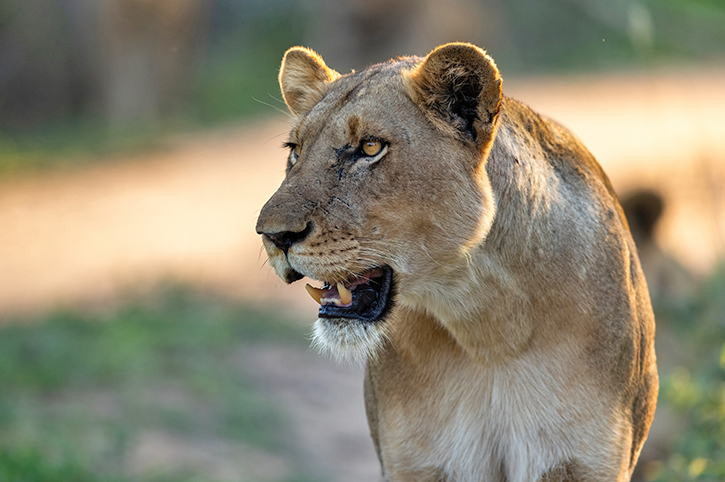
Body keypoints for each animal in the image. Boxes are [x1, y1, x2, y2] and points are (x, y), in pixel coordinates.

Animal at [255, 43, 657, 482]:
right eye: (295, 152)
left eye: (370, 148)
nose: (272, 236)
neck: (488, 325)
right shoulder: (417, 463)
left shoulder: (586, 462)